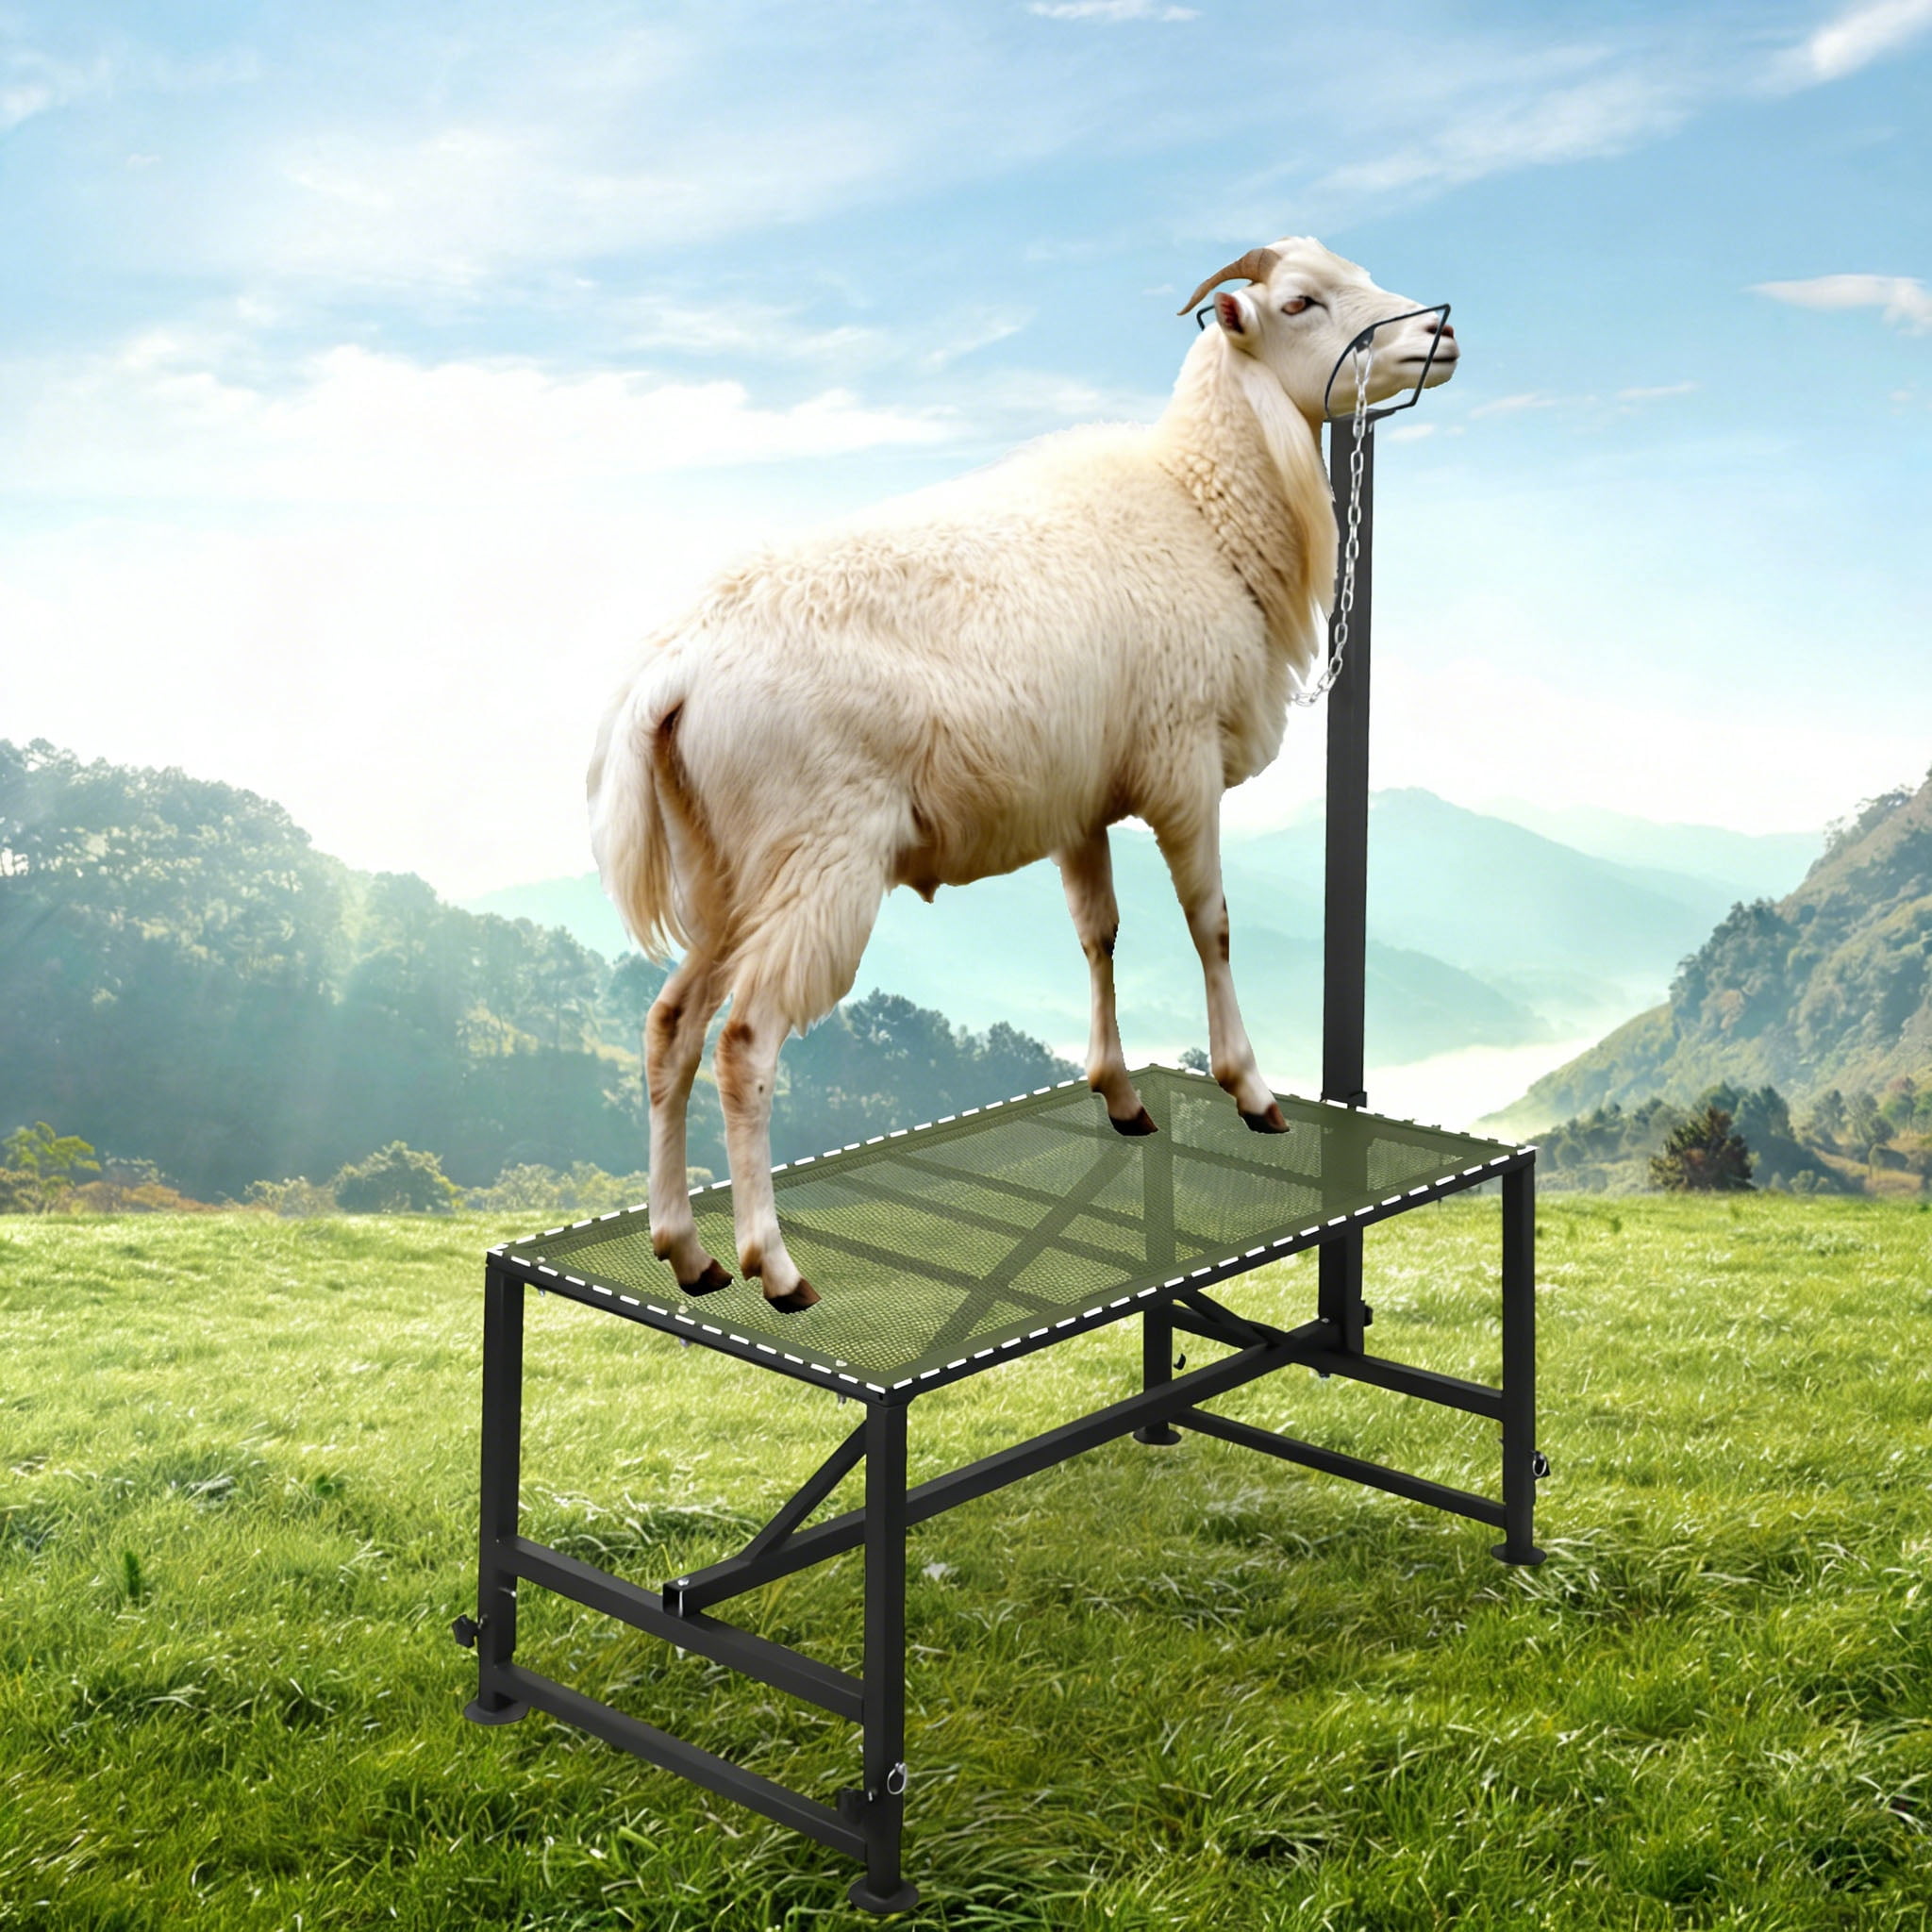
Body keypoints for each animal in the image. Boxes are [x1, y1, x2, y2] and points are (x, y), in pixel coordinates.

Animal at [589, 237, 1457, 1310]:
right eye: (1299, 302)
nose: (1440, 334)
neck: (1203, 505)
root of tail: (674, 669)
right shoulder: (1180, 762)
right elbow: (1209, 924)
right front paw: (1249, 1089)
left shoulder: (1078, 799)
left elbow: (1099, 934)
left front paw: (1120, 1094)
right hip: (817, 856)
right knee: (744, 1040)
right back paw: (774, 1265)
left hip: (729, 870)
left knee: (668, 1026)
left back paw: (685, 1248)